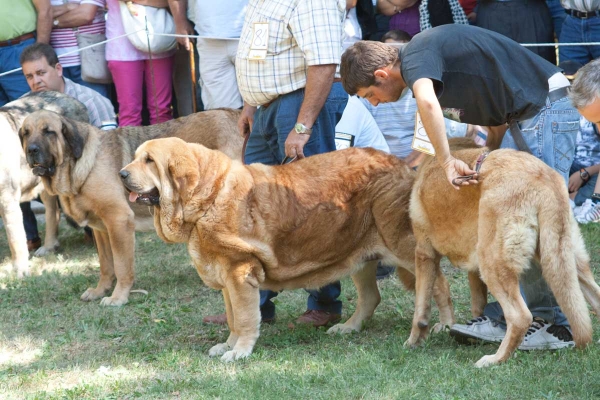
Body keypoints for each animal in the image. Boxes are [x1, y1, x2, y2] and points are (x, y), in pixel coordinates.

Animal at [19, 109, 244, 306]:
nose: (31, 150)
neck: (78, 166)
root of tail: (238, 115)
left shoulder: (119, 222)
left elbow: (121, 266)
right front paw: (100, 290)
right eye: (25, 133)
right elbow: (105, 265)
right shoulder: (100, 229)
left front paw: (118, 297)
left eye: (49, 131)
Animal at [117, 138, 454, 362]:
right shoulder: (227, 280)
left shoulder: (240, 274)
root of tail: (403, 165)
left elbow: (245, 318)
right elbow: (232, 318)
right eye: (136, 158)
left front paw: (239, 352)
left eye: (149, 160)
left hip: (404, 246)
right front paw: (228, 345)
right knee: (371, 296)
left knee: (438, 282)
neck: (207, 198)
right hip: (358, 255)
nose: (121, 174)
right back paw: (348, 328)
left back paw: (445, 325)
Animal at [404, 139, 600, 368]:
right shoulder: (470, 269)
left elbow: (421, 307)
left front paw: (413, 341)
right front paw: (451, 326)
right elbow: (471, 302)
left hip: (492, 263)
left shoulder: (424, 255)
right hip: (567, 262)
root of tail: (545, 180)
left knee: (521, 317)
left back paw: (495, 359)